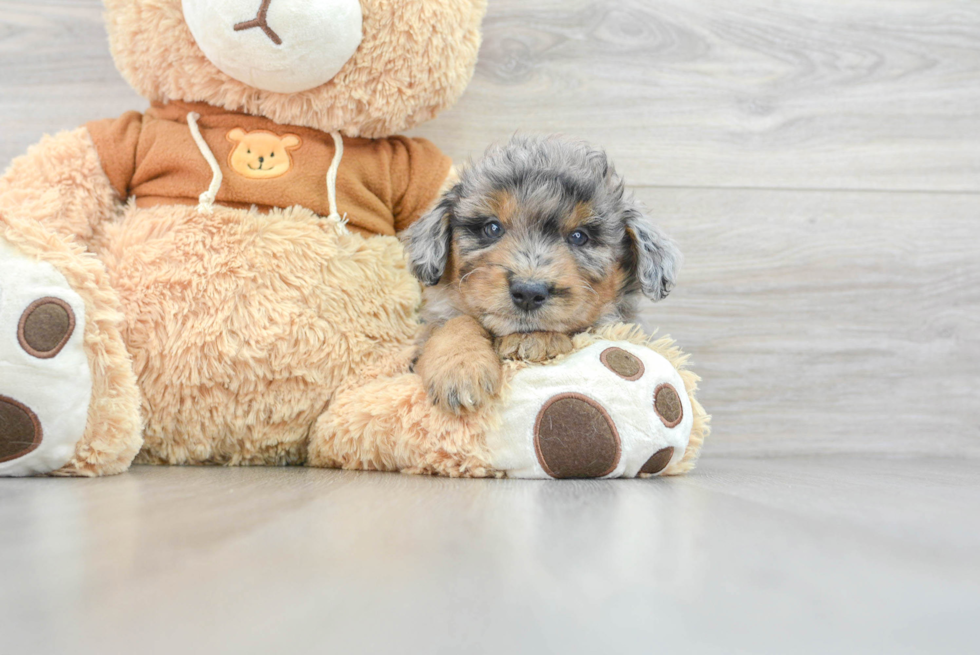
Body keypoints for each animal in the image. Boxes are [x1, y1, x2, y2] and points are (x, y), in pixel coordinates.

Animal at [402, 136, 676, 416]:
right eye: (492, 228)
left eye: (579, 236)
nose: (528, 292)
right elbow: (453, 323)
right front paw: (460, 367)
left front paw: (536, 339)